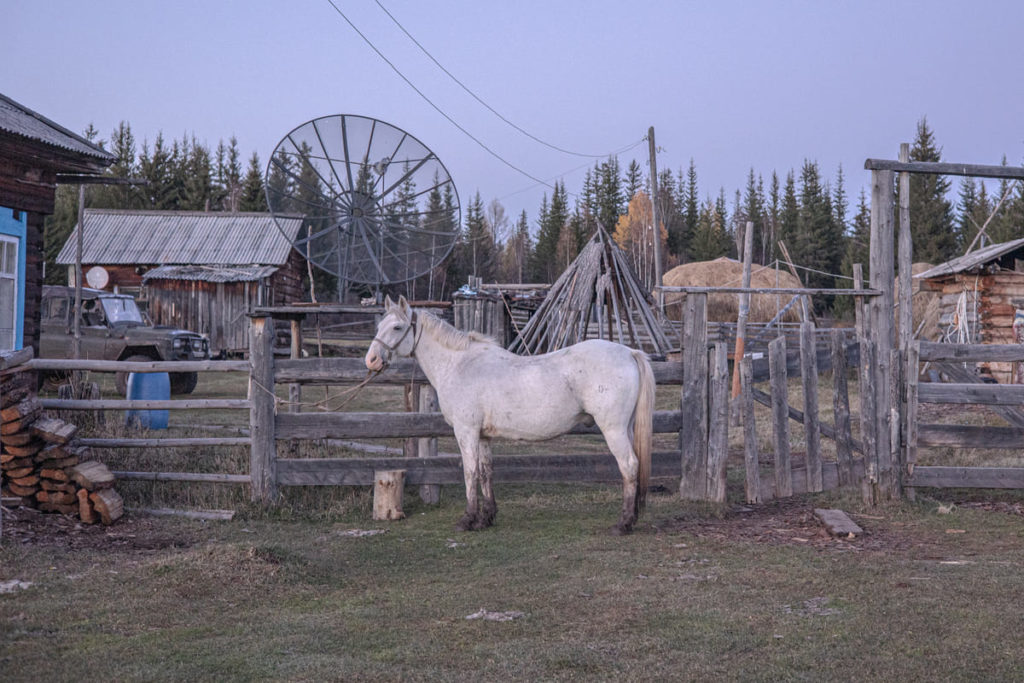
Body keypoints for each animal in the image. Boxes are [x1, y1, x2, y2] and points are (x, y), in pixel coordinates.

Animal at [368, 294, 655, 532]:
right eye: (379, 326)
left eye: (397, 327)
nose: (371, 360)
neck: (460, 364)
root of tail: (629, 352)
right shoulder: (483, 436)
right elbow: (486, 472)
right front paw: (485, 518)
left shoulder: (466, 431)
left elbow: (470, 472)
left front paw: (467, 520)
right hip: (626, 428)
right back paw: (632, 518)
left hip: (613, 429)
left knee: (629, 465)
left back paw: (623, 523)